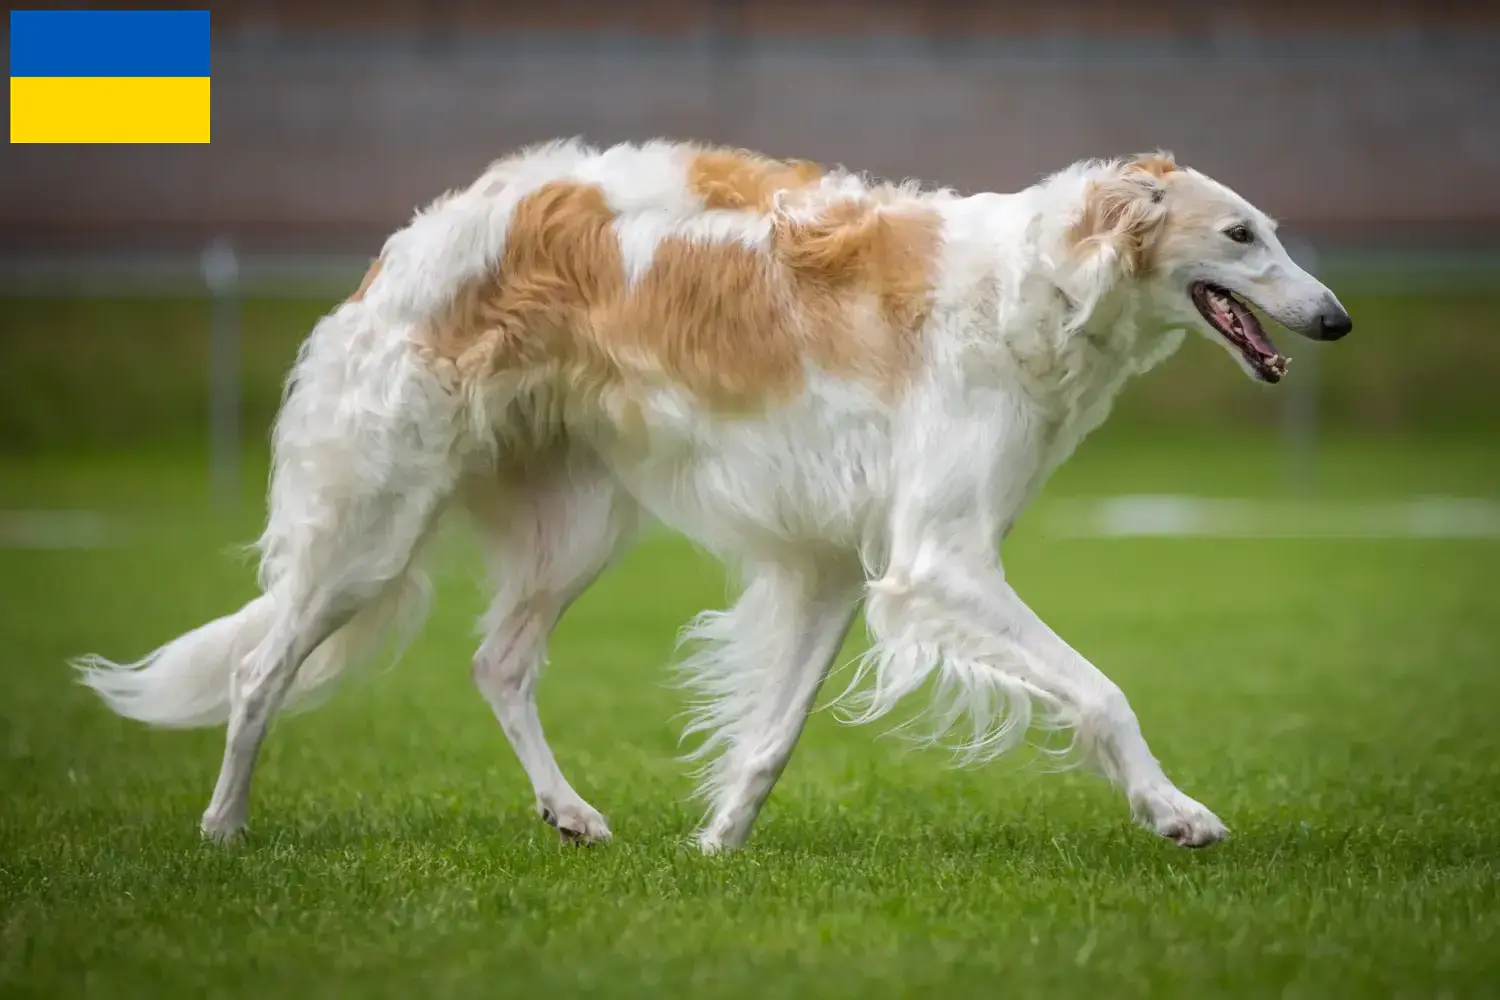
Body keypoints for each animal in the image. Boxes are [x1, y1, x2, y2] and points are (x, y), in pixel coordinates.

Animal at [76, 138, 1356, 851]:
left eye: (1274, 231)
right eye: (1241, 234)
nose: (1338, 318)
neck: (1034, 283)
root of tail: (413, 237)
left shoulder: (836, 565)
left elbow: (771, 736)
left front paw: (716, 843)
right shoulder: (939, 561)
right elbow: (1104, 694)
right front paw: (1175, 812)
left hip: (580, 522)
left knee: (497, 662)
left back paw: (571, 812)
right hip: (375, 525)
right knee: (258, 668)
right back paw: (224, 828)